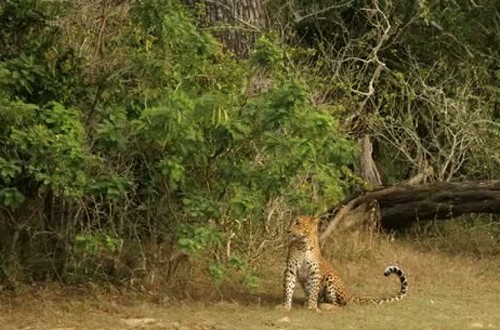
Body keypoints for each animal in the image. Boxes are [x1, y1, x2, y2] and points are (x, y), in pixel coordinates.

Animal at [280, 215, 408, 310]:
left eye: (298, 223)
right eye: (292, 222)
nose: (287, 231)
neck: (303, 245)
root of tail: (349, 294)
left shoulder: (315, 272)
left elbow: (313, 290)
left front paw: (312, 307)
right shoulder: (290, 269)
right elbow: (288, 288)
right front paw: (286, 306)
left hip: (331, 278)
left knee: (341, 304)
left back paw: (324, 306)